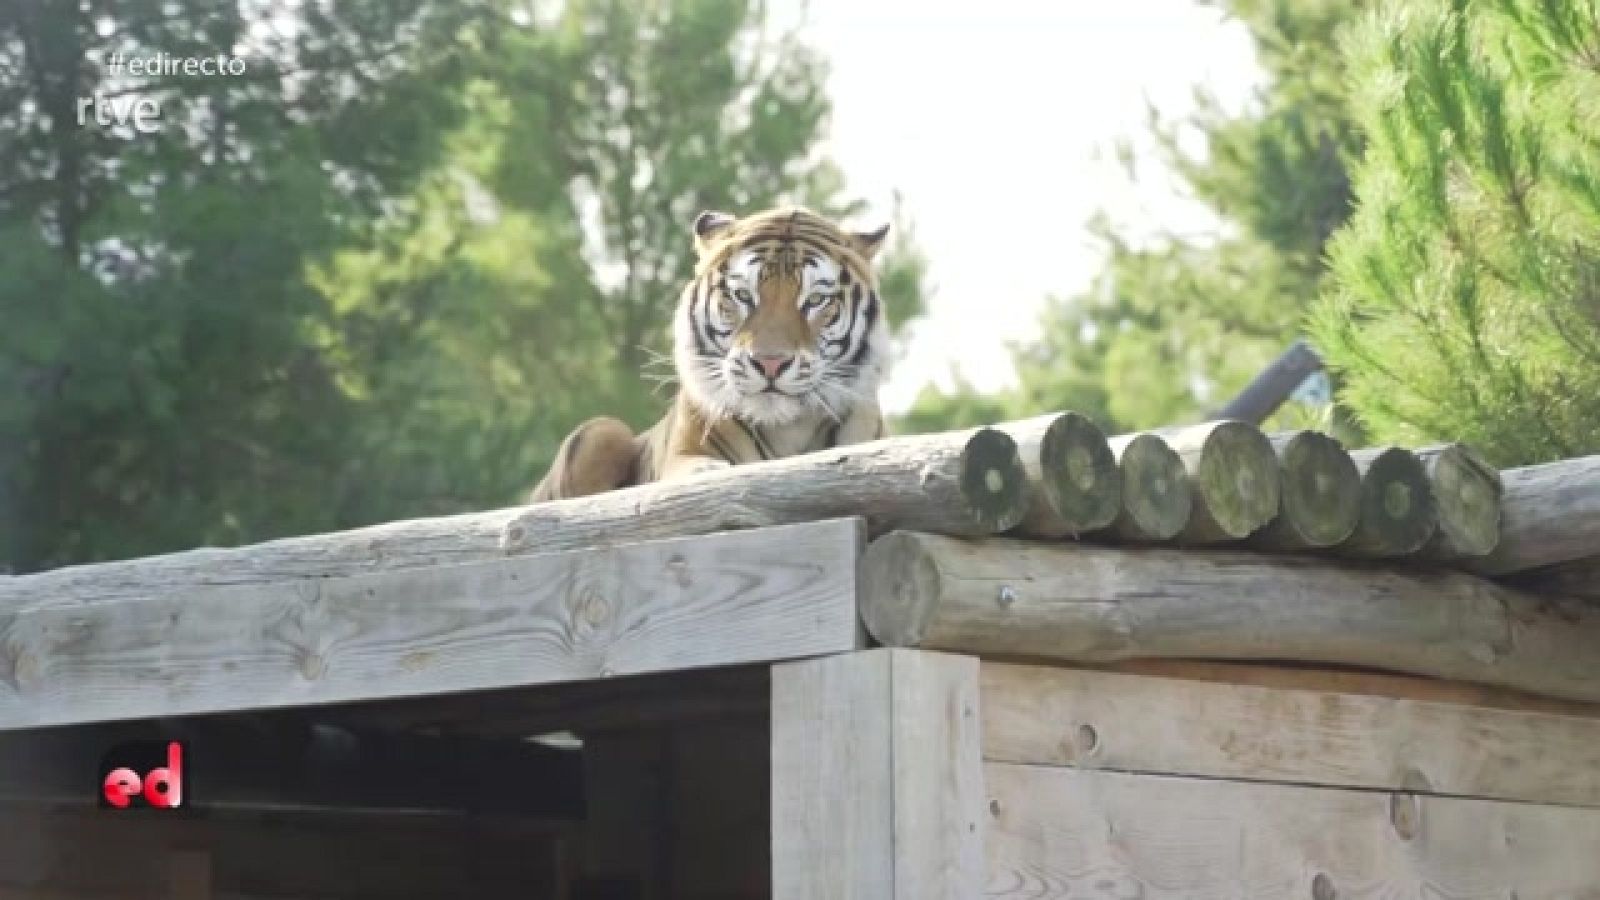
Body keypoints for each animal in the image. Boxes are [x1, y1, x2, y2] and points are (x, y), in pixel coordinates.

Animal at [528, 205, 894, 503]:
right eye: (743, 295)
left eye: (816, 300)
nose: (770, 362)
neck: (787, 429)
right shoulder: (682, 453)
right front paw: (710, 472)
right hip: (600, 429)